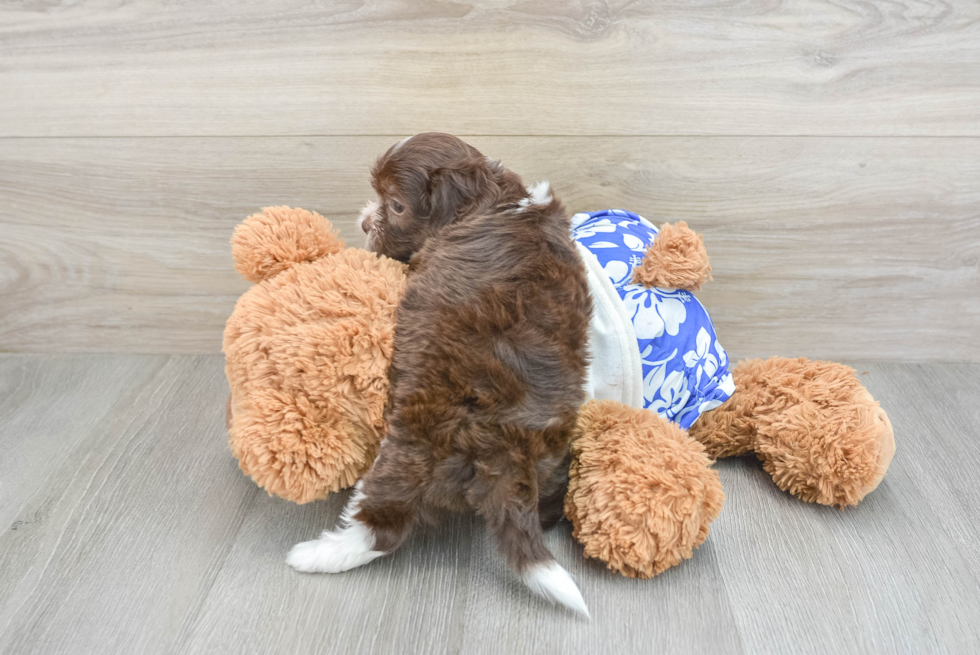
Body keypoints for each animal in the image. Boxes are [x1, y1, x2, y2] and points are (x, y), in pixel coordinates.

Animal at [284, 135, 588, 620]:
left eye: (396, 205)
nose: (365, 221)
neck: (495, 201)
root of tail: (511, 449)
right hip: (553, 458)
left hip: (409, 454)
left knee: (382, 527)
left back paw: (317, 554)